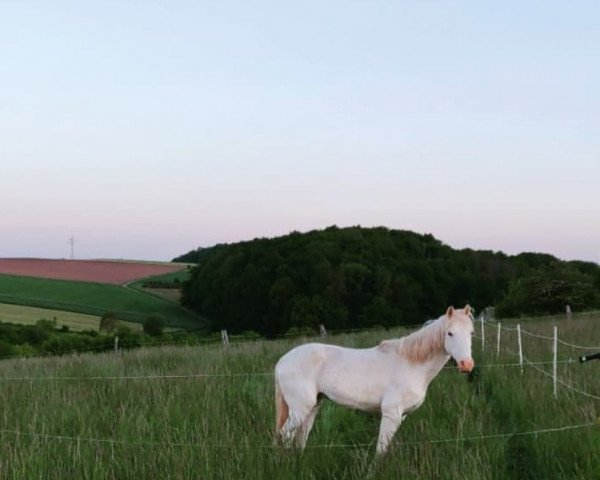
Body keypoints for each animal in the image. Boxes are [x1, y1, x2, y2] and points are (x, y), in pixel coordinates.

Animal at [274, 306, 476, 456]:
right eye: (449, 333)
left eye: (471, 333)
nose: (466, 364)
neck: (411, 364)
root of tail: (282, 361)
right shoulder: (391, 413)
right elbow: (381, 450)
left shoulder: (401, 416)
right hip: (300, 408)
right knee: (285, 435)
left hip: (313, 405)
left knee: (300, 436)